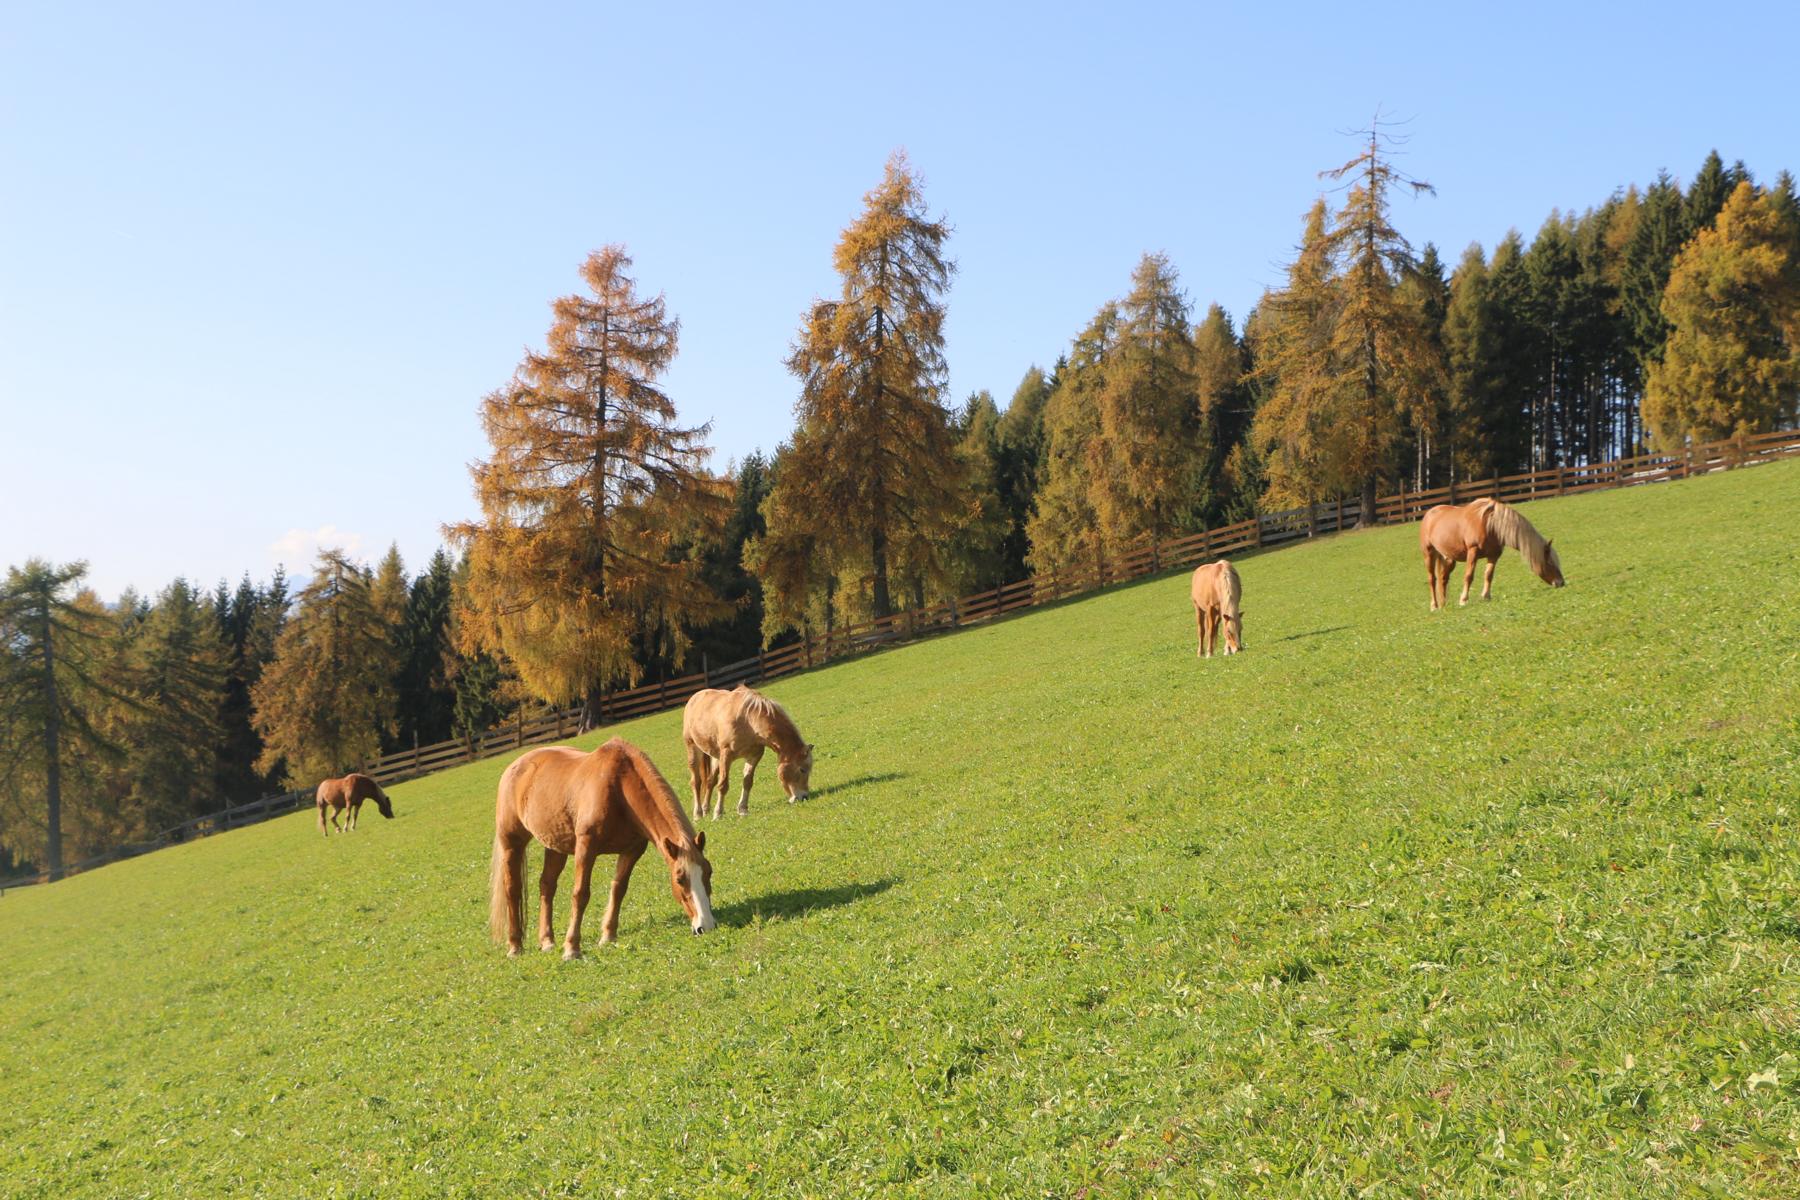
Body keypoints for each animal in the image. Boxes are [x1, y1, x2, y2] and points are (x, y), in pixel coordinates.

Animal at [489, 737, 715, 958]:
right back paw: (515, 946)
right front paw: (572, 948)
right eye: (679, 879)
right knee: (512, 890)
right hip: (512, 844)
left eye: (709, 873)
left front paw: (608, 936)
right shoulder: (586, 848)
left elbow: (618, 889)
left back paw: (547, 941)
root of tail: (514, 767)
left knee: (547, 886)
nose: (705, 926)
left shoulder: (632, 850)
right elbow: (580, 894)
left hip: (555, 847)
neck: (618, 787)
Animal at [682, 684, 813, 820]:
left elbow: (747, 782)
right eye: (802, 770)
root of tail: (695, 697)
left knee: (710, 781)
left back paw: (705, 809)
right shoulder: (726, 755)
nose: (804, 797)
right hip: (692, 747)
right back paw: (698, 814)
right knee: (696, 782)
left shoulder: (754, 756)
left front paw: (743, 809)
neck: (748, 721)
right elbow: (723, 785)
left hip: (716, 756)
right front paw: (718, 814)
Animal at [1419, 496, 1565, 610]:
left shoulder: (1494, 555)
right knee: (1432, 579)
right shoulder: (1473, 552)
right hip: (1429, 554)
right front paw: (1463, 600)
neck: (1490, 524)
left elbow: (1489, 575)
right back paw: (1434, 606)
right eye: (1549, 562)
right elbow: (1468, 576)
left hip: (1449, 558)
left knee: (1443, 578)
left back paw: (1444, 604)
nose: (1561, 583)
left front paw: (1486, 596)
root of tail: (1429, 514)